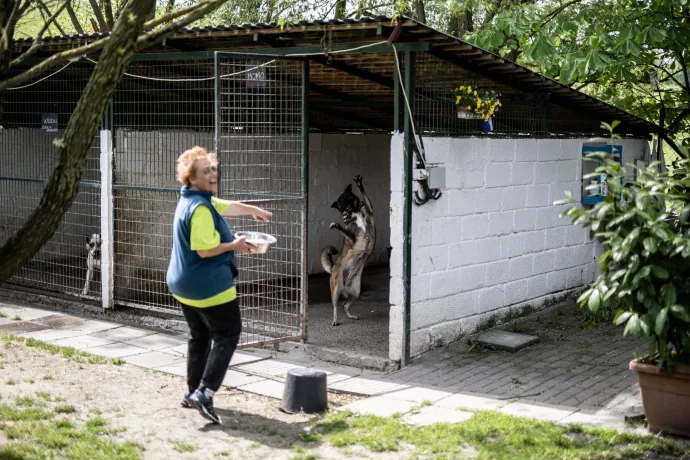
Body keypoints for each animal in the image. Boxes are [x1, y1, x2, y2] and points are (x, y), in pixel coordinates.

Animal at [318, 174, 374, 326]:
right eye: (342, 201)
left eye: (349, 196)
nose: (354, 201)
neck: (355, 213)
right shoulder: (352, 238)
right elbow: (344, 230)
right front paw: (337, 225)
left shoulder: (370, 212)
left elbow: (367, 201)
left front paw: (360, 184)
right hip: (335, 291)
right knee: (336, 306)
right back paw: (335, 319)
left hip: (355, 293)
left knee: (345, 305)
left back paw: (350, 315)